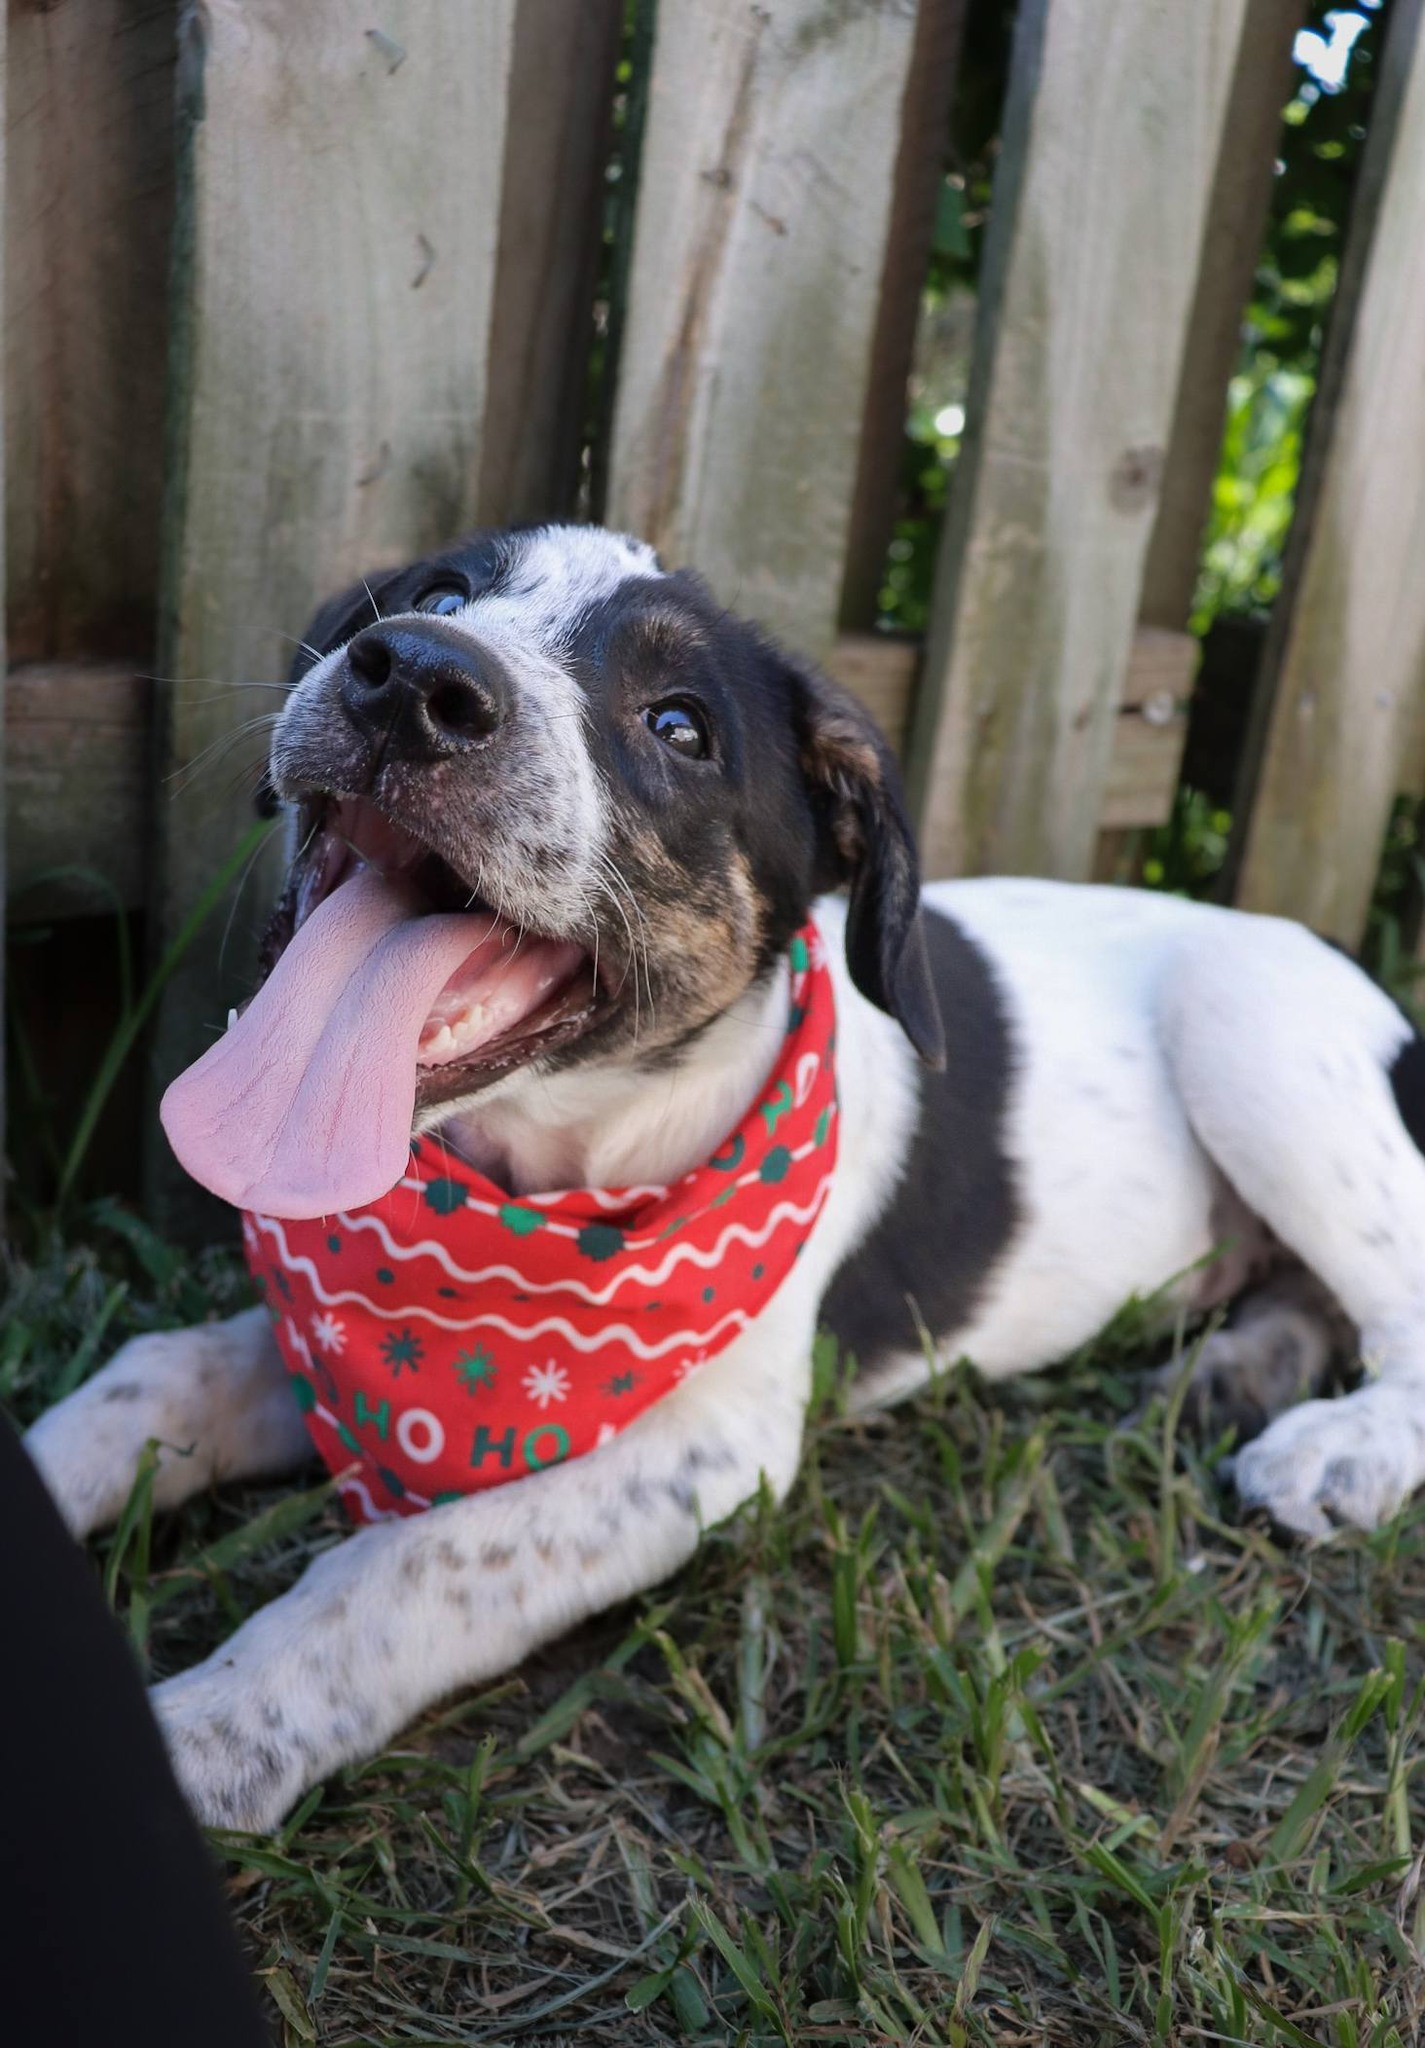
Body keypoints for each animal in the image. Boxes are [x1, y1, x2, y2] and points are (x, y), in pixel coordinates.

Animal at [24, 523, 1425, 1831]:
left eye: (680, 727)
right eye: (439, 594)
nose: (412, 674)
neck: (544, 1177)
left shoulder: (704, 1454)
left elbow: (404, 1568)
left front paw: (211, 1727)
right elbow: (151, 1376)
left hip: (1247, 1024)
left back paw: (1337, 1449)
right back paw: (1240, 1369)